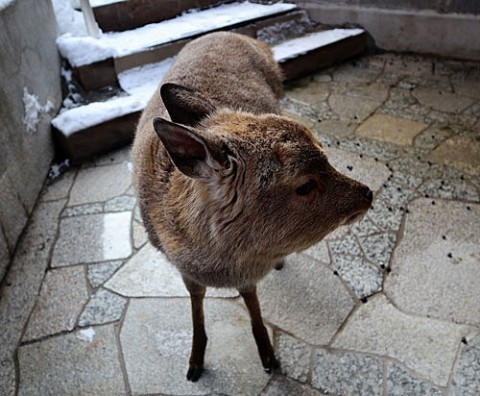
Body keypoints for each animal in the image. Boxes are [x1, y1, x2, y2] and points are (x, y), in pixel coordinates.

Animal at [130, 32, 372, 382]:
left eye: (324, 152)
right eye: (305, 185)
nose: (367, 193)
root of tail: (244, 36)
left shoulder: (246, 272)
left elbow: (251, 299)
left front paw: (269, 356)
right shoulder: (185, 269)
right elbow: (195, 301)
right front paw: (194, 362)